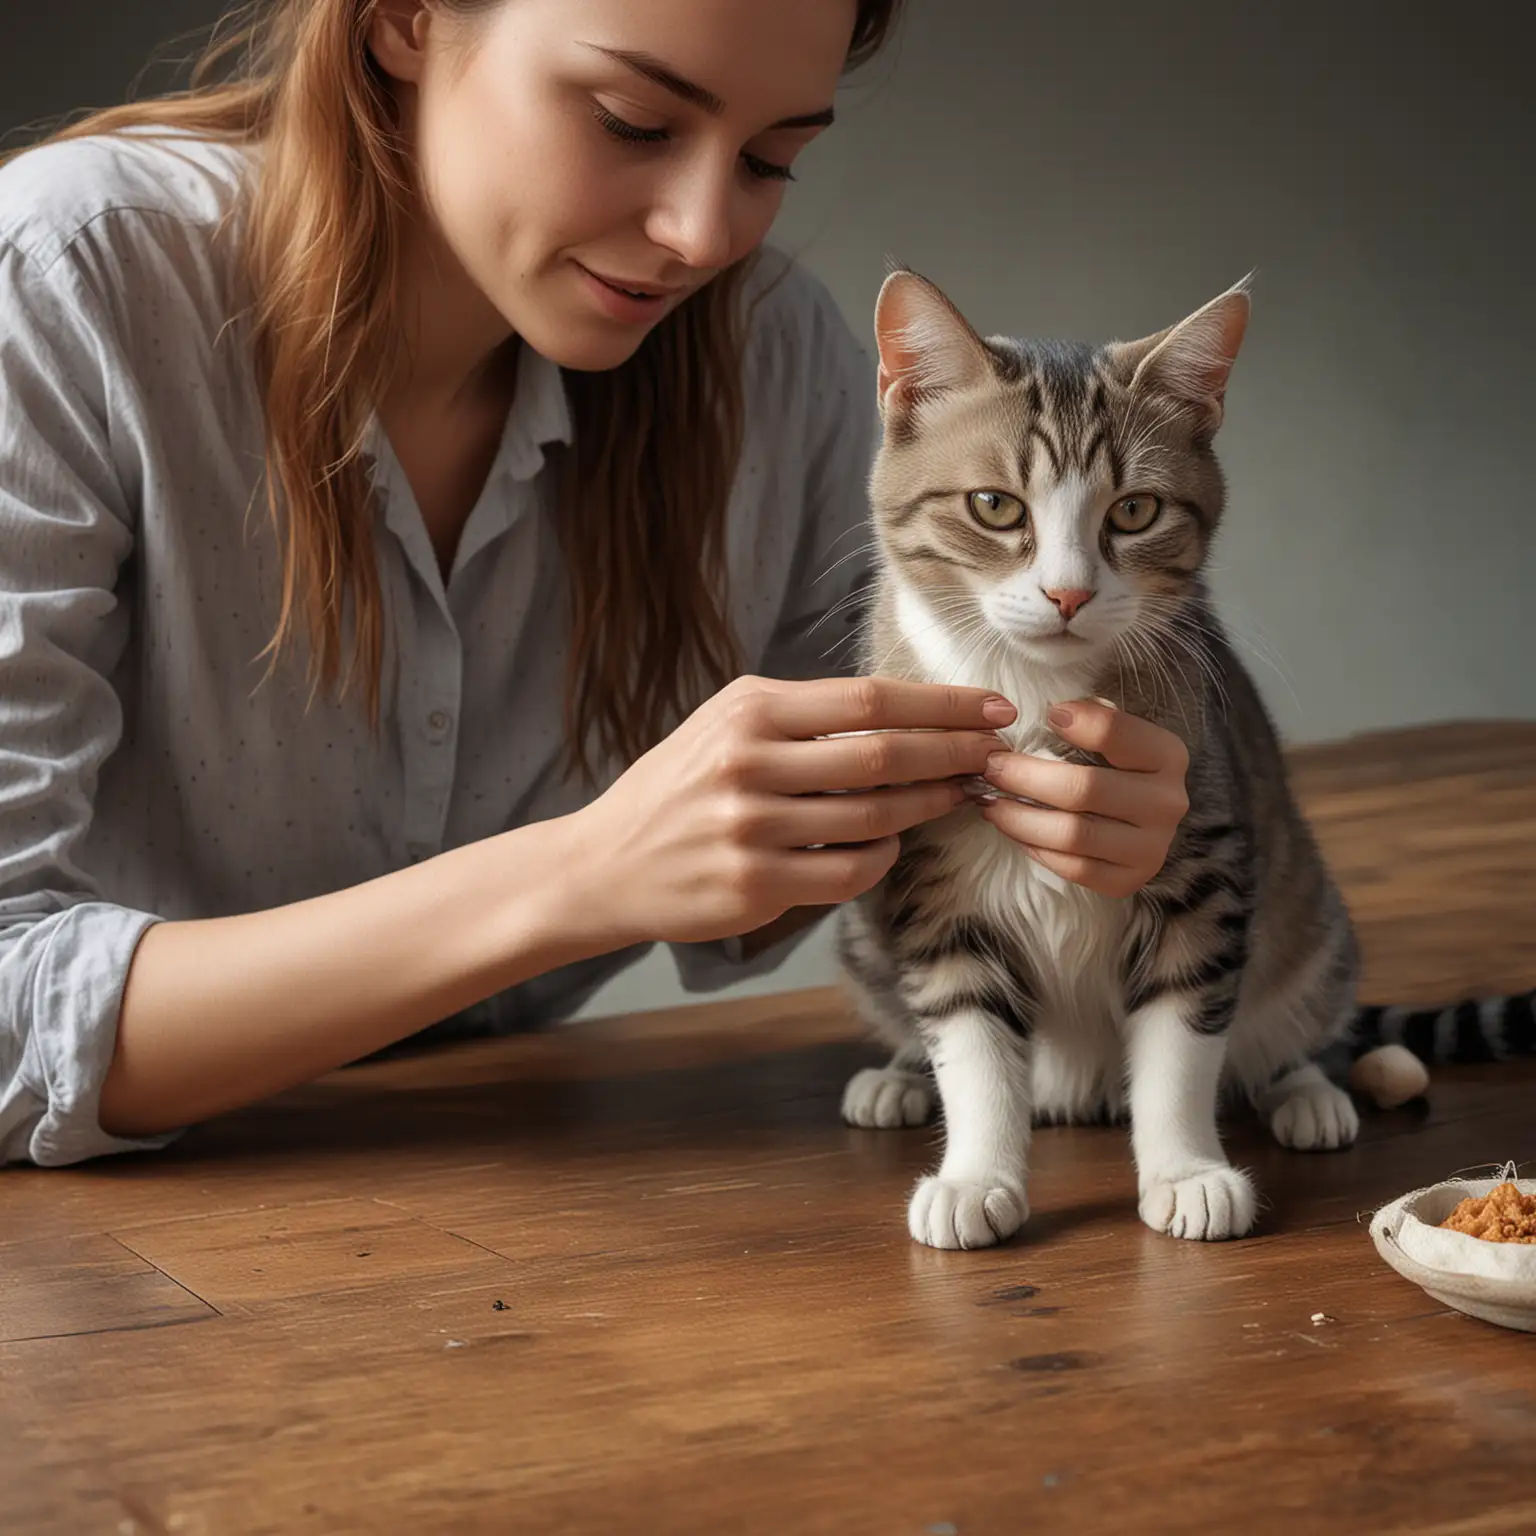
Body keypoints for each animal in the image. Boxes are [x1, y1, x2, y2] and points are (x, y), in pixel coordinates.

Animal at [841, 267, 1536, 1247]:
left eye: (1134, 511)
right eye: (994, 506)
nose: (1067, 593)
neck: (1040, 696)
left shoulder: (1200, 853)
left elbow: (1182, 1033)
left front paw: (1185, 1170)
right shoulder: (934, 884)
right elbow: (970, 1041)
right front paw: (976, 1174)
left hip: (1304, 904)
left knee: (1295, 1007)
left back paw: (1306, 1089)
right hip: (864, 934)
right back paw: (897, 1079)